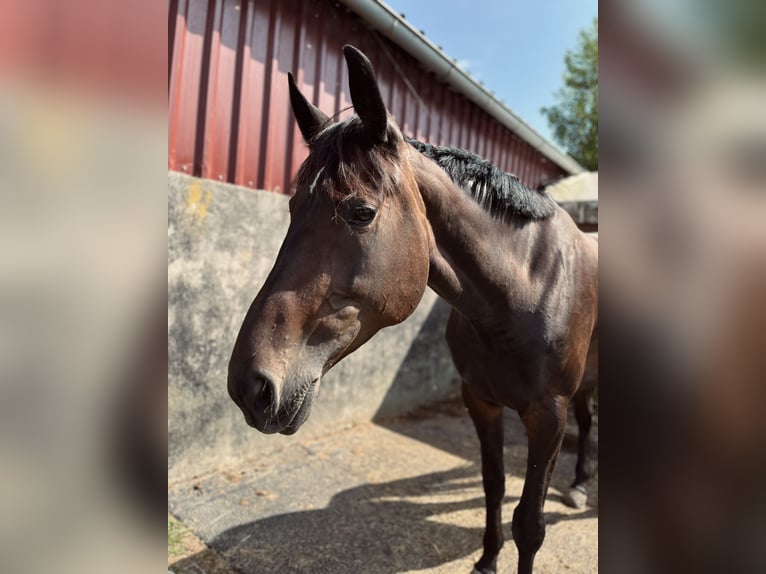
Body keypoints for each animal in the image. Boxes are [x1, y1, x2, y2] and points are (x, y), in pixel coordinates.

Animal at [228, 46, 600, 574]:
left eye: (361, 212)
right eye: (293, 207)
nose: (250, 385)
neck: (525, 291)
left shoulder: (547, 417)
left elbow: (530, 524)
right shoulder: (480, 401)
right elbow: (493, 485)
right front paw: (487, 560)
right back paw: (579, 484)